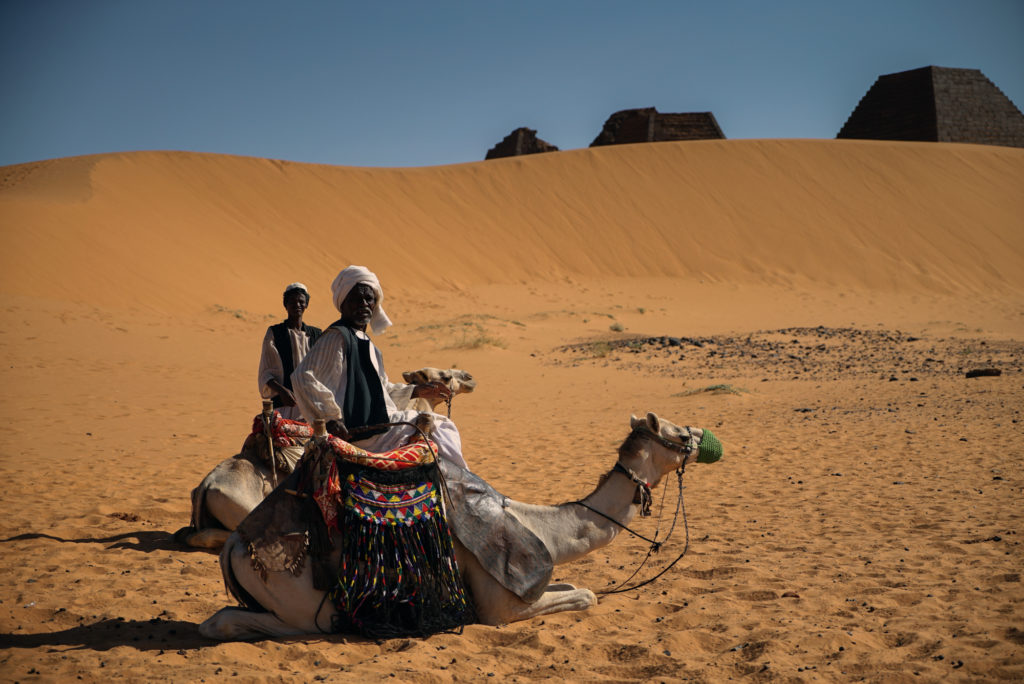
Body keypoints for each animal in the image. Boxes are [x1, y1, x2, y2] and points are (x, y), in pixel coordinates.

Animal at [197, 411, 720, 643]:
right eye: (676, 433)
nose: (706, 438)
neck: (543, 529)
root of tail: (235, 547)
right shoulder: (499, 607)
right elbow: (587, 595)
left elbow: (576, 586)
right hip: (303, 597)